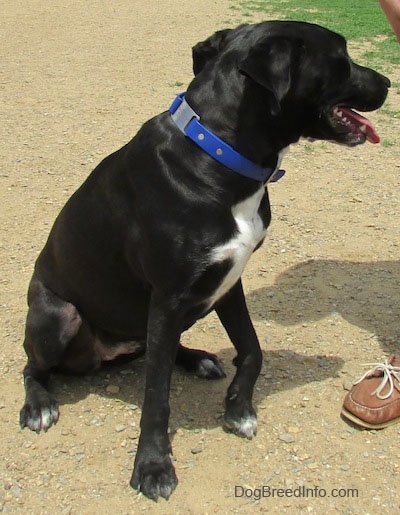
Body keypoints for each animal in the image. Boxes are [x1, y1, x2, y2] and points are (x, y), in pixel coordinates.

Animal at [20, 22, 390, 502]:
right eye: (342, 57)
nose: (388, 82)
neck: (218, 156)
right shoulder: (169, 296)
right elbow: (156, 397)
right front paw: (152, 466)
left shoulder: (228, 281)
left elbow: (251, 349)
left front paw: (239, 407)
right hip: (58, 316)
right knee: (34, 366)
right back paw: (39, 405)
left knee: (158, 349)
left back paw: (196, 359)